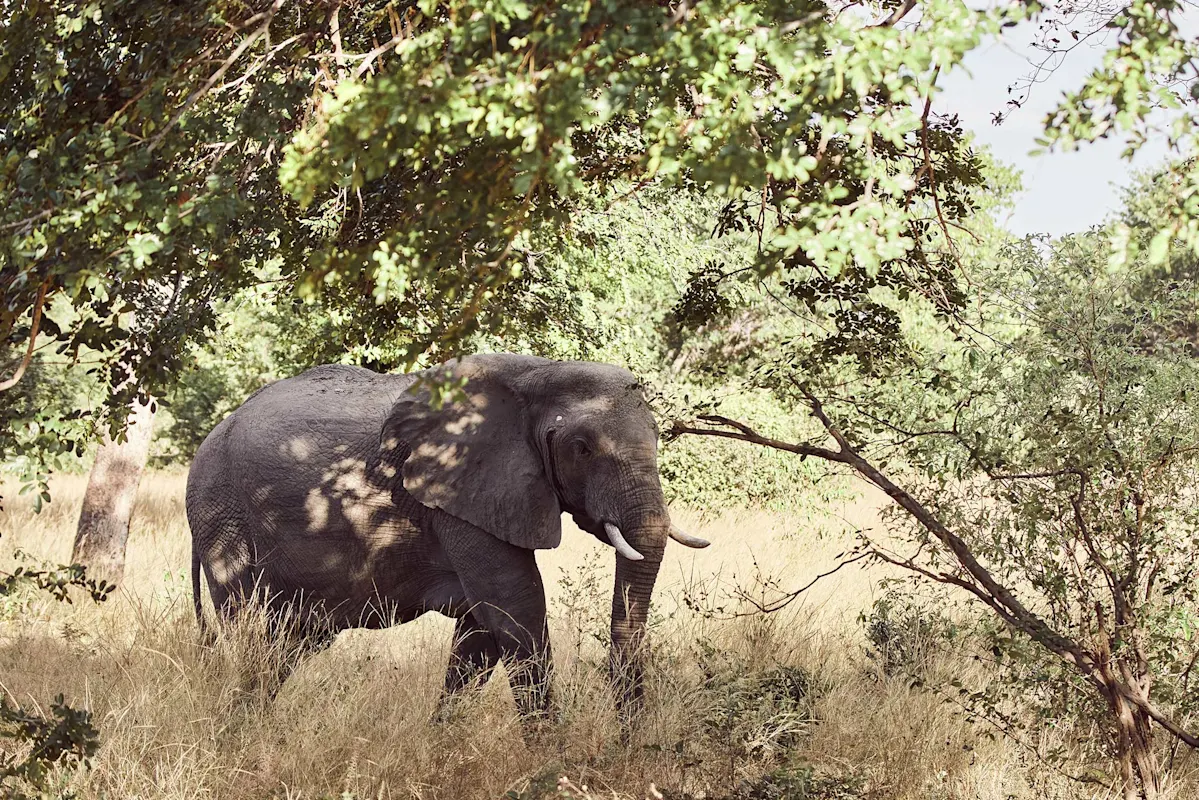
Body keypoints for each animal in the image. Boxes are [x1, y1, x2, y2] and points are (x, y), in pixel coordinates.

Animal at [185, 353, 709, 718]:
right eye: (581, 448)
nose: (628, 738)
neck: (541, 373)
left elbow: (480, 634)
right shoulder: (459, 495)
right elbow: (517, 608)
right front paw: (552, 761)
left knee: (289, 643)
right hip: (221, 512)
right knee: (250, 628)